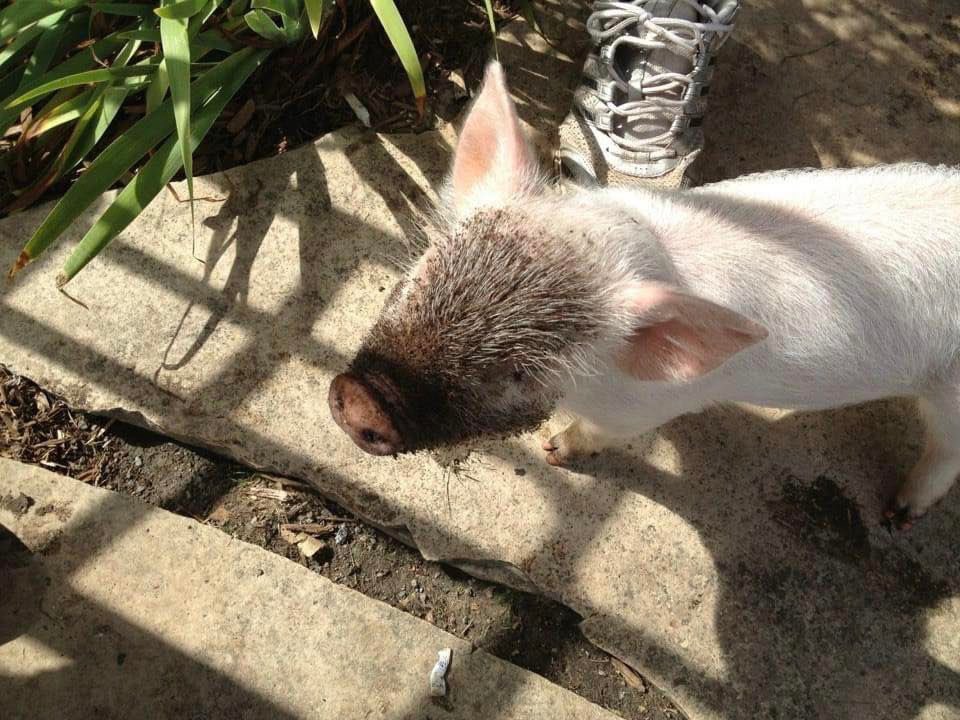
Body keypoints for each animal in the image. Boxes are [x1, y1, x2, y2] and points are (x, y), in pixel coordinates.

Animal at [328, 61, 960, 528]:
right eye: (421, 275)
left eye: (519, 372)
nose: (361, 400)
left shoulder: (646, 409)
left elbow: (604, 434)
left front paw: (553, 452)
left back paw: (898, 515)